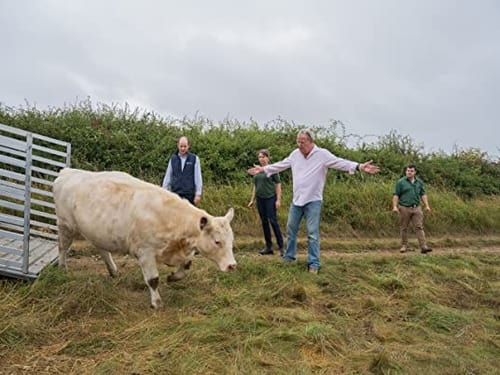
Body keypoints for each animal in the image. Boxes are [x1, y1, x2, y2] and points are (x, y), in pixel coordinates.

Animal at [52, 168, 236, 308]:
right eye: (217, 241)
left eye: (231, 241)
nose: (232, 265)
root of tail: (67, 172)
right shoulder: (145, 252)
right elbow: (153, 279)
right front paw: (157, 302)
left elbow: (186, 265)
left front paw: (173, 277)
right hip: (65, 226)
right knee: (62, 247)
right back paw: (62, 268)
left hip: (97, 232)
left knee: (102, 250)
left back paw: (113, 270)